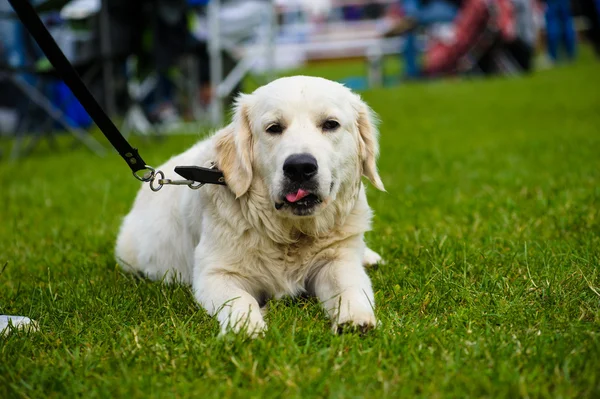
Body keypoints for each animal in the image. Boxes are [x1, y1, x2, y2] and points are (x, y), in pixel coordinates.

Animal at [116, 76, 384, 338]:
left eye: (330, 124)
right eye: (273, 128)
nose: (299, 167)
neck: (290, 234)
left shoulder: (338, 260)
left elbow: (348, 286)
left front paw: (355, 317)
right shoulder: (215, 273)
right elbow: (240, 299)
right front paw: (246, 328)